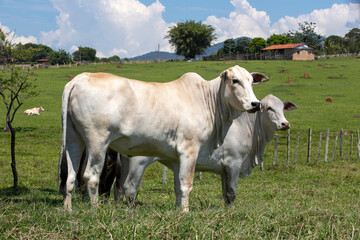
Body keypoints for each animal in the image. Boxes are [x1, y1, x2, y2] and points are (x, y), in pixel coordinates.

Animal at [59, 64, 268, 211]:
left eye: (251, 81)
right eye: (235, 81)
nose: (255, 104)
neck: (207, 100)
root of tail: (78, 79)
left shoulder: (176, 158)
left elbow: (178, 186)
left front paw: (178, 210)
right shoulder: (189, 150)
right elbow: (186, 185)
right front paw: (185, 212)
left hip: (73, 138)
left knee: (71, 176)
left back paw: (68, 208)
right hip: (98, 141)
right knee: (91, 176)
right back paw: (95, 209)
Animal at [114, 94, 296, 206]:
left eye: (282, 108)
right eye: (268, 108)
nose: (285, 124)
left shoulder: (224, 169)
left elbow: (225, 194)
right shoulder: (234, 163)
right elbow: (232, 192)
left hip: (126, 161)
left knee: (119, 187)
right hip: (138, 161)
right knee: (130, 187)